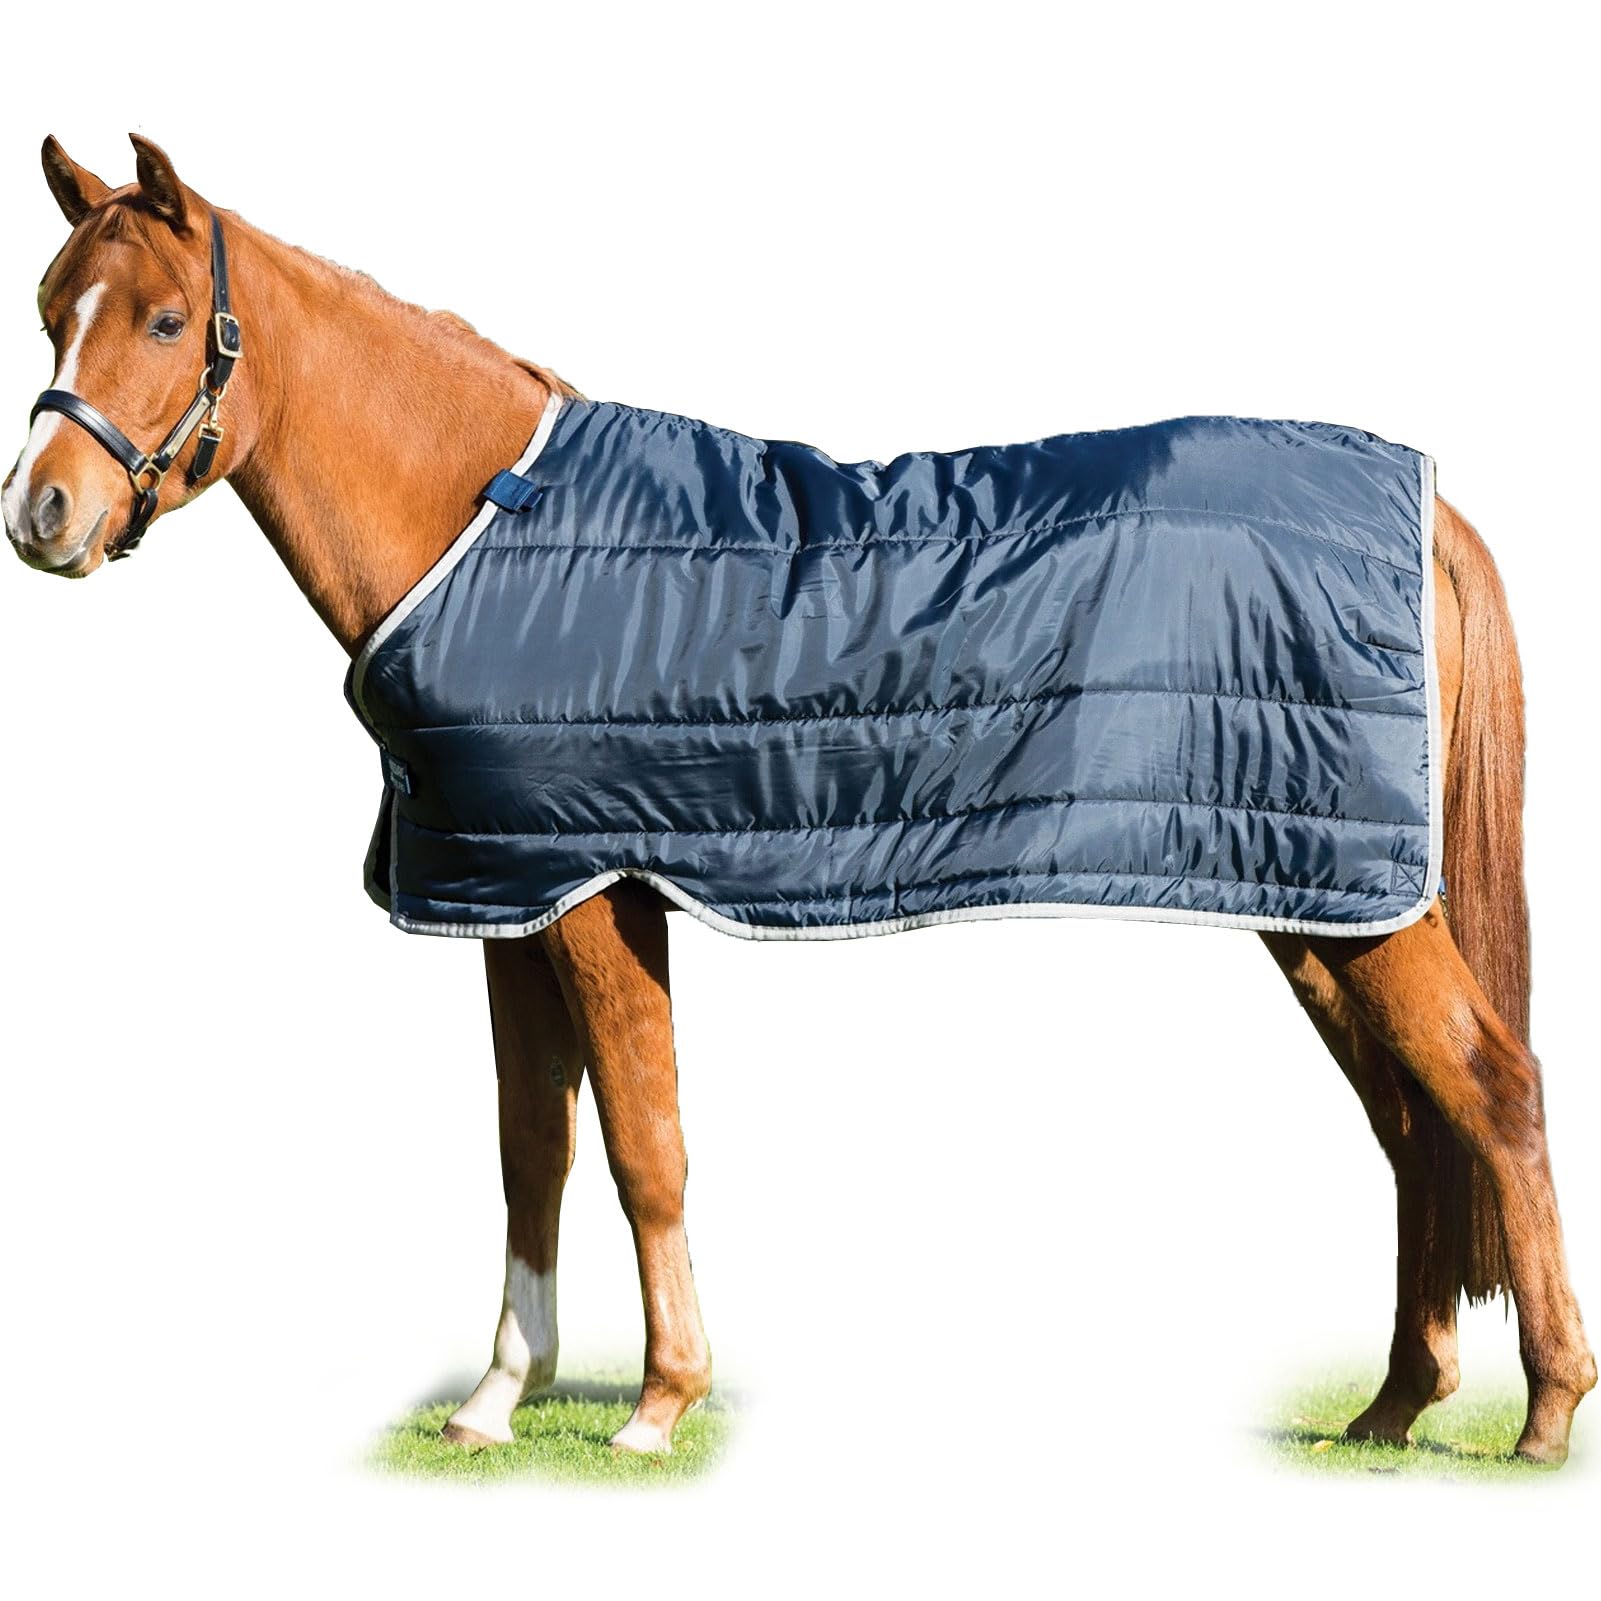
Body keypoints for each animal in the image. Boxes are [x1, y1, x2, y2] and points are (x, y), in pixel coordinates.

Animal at [5, 134, 1594, 1465]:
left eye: (163, 321)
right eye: (48, 307)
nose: (41, 516)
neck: (483, 524)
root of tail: (1428, 509)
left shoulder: (596, 891)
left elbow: (643, 1144)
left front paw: (659, 1405)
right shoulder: (506, 892)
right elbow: (533, 1150)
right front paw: (497, 1399)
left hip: (1358, 906)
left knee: (1493, 1090)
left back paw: (1540, 1418)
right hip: (1312, 898)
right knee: (1414, 1122)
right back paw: (1393, 1408)